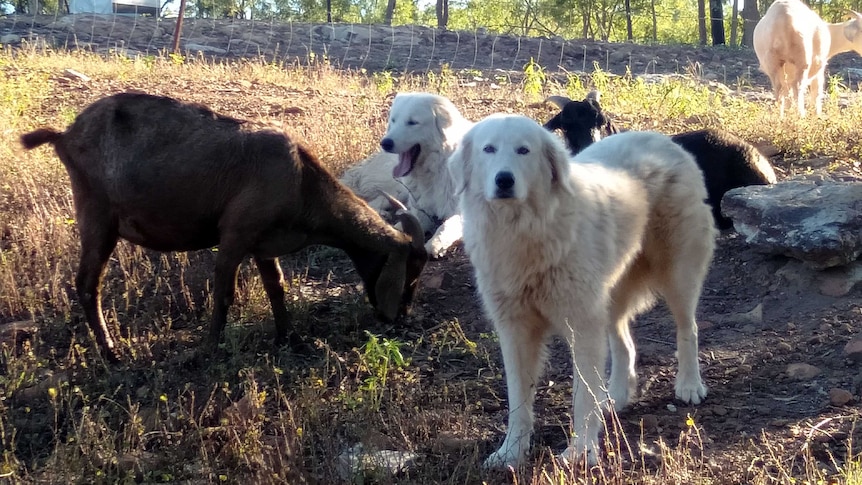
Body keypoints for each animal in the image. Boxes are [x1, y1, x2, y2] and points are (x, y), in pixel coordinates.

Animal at [24, 92, 432, 362]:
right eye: (410, 274)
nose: (402, 318)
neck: (301, 179)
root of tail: (65, 134)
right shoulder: (235, 235)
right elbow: (224, 293)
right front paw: (207, 351)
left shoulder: (265, 245)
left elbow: (277, 289)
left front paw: (289, 339)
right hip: (97, 215)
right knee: (86, 285)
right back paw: (112, 354)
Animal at [340, 91, 472, 258]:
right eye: (394, 120)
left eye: (412, 122)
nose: (385, 143)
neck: (436, 168)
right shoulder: (420, 209)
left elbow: (446, 225)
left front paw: (434, 244)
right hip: (398, 188)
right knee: (373, 201)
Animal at [448, 113, 720, 466]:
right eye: (489, 149)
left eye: (524, 150)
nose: (504, 180)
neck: (524, 229)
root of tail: (664, 140)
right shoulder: (515, 329)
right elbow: (518, 398)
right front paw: (510, 453)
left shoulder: (581, 326)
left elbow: (581, 396)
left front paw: (580, 452)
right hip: (609, 294)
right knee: (623, 342)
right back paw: (615, 396)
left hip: (677, 276)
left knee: (688, 328)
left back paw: (689, 385)